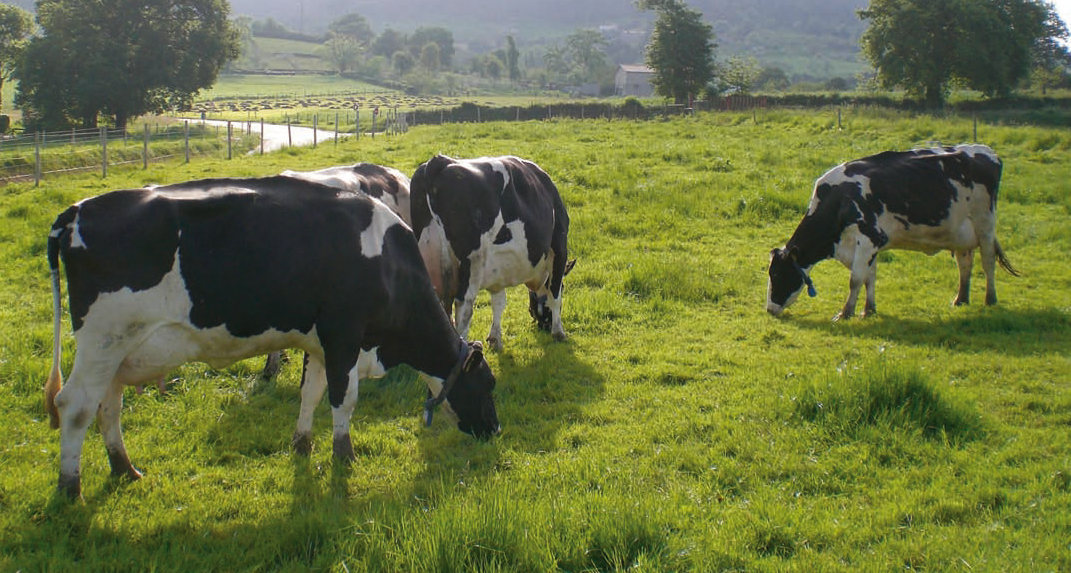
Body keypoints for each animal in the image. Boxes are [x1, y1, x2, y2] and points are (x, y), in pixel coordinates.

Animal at [43, 176, 499, 499]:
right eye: (488, 385)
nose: (494, 430)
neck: (388, 263)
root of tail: (78, 210)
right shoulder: (344, 335)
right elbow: (344, 399)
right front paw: (344, 457)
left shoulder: (319, 342)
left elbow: (311, 392)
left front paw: (302, 444)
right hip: (105, 339)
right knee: (75, 406)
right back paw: (70, 488)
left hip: (118, 351)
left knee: (108, 406)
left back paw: (124, 468)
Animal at [766, 143, 1015, 321]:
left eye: (777, 274)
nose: (769, 309)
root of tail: (988, 151)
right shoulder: (870, 247)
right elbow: (870, 277)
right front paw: (869, 310)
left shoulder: (868, 239)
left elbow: (856, 279)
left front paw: (845, 313)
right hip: (961, 234)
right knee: (965, 265)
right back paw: (960, 299)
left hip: (985, 224)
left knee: (988, 261)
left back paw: (990, 299)